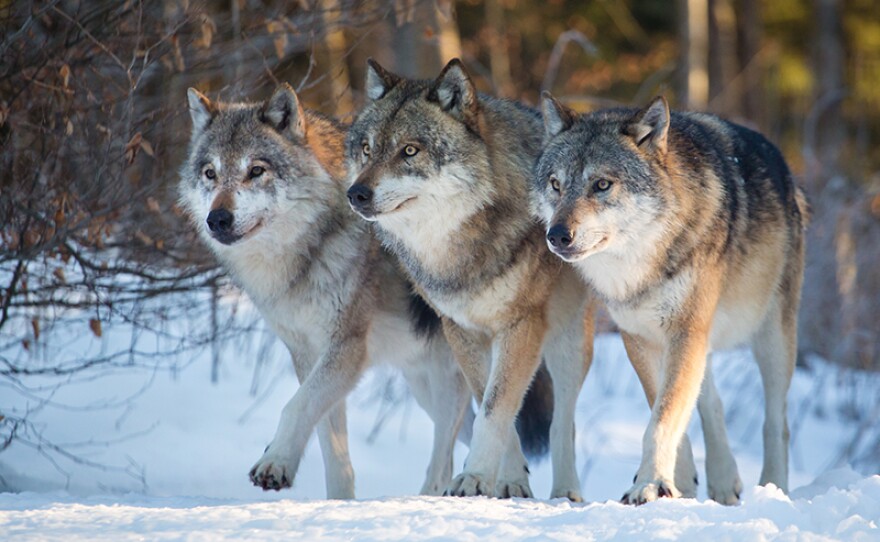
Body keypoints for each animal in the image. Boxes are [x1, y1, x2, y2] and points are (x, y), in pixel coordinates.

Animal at [180, 83, 478, 498]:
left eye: (256, 171)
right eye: (210, 173)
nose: (218, 219)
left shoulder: (346, 348)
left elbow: (295, 407)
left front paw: (275, 462)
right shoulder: (308, 354)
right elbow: (331, 447)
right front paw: (339, 503)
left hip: (452, 379)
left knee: (447, 457)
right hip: (426, 387)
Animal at [345, 58, 597, 501]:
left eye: (409, 150)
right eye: (367, 149)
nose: (356, 194)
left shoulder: (521, 325)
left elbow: (498, 407)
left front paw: (474, 477)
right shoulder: (460, 330)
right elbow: (493, 405)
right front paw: (506, 481)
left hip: (567, 342)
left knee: (563, 421)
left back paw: (566, 492)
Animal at [536, 93, 809, 504]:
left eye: (602, 184)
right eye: (555, 183)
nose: (556, 235)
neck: (641, 263)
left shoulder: (684, 330)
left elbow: (662, 419)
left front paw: (649, 484)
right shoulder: (641, 337)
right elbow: (663, 410)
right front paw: (674, 481)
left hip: (771, 338)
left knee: (777, 422)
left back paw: (773, 489)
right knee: (711, 401)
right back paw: (723, 480)